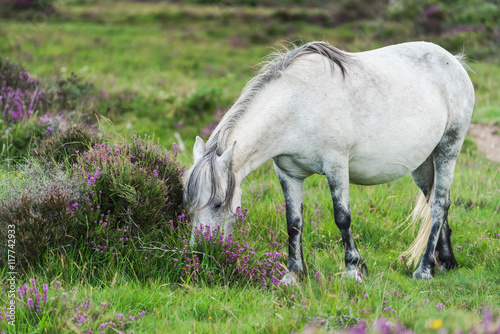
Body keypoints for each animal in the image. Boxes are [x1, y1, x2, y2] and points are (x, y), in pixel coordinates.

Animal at [186, 41, 474, 282]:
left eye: (218, 203)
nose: (199, 255)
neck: (297, 104)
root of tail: (454, 61)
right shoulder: (287, 173)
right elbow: (293, 222)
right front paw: (293, 274)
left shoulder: (336, 165)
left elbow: (342, 217)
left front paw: (353, 269)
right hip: (423, 163)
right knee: (437, 201)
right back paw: (445, 262)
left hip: (448, 148)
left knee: (439, 204)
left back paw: (424, 270)